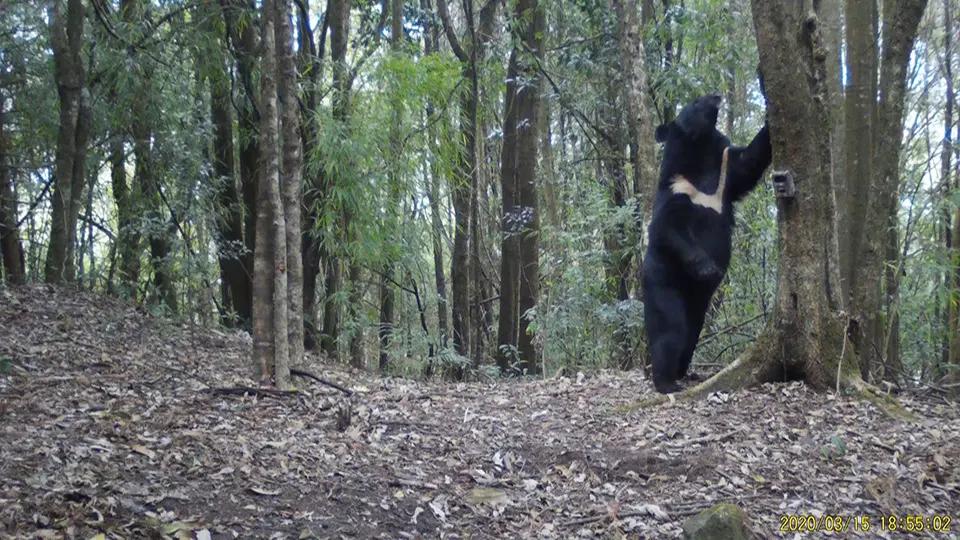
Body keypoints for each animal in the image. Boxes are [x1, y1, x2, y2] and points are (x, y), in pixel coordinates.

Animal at [642, 94, 772, 394]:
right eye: (694, 103)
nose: (715, 95)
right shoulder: (675, 191)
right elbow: (668, 229)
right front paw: (708, 268)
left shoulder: (726, 176)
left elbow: (749, 161)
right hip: (660, 278)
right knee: (671, 329)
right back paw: (667, 381)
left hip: (698, 305)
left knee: (691, 333)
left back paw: (683, 372)